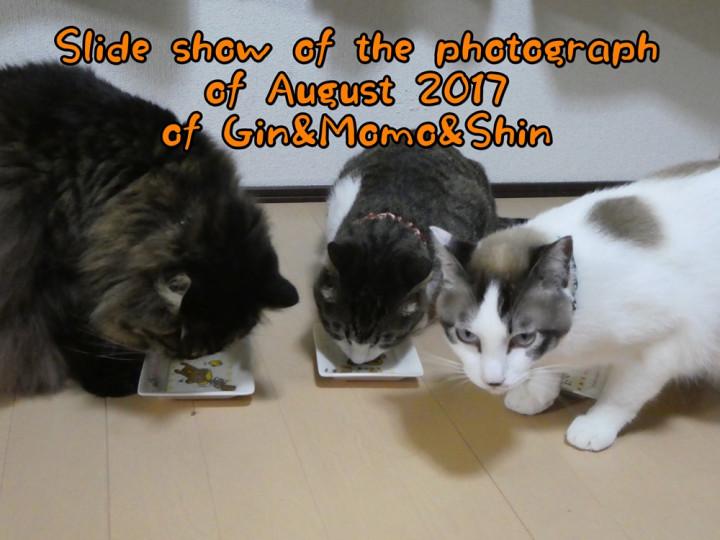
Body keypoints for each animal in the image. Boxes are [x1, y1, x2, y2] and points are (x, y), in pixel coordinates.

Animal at [0, 62, 298, 397]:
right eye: (171, 336)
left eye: (208, 350)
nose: (184, 356)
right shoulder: (59, 274)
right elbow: (76, 333)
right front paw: (112, 379)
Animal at [432, 160, 720, 451]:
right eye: (466, 335)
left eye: (524, 338)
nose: (493, 382)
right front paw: (536, 393)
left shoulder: (662, 344)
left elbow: (623, 393)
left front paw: (597, 425)